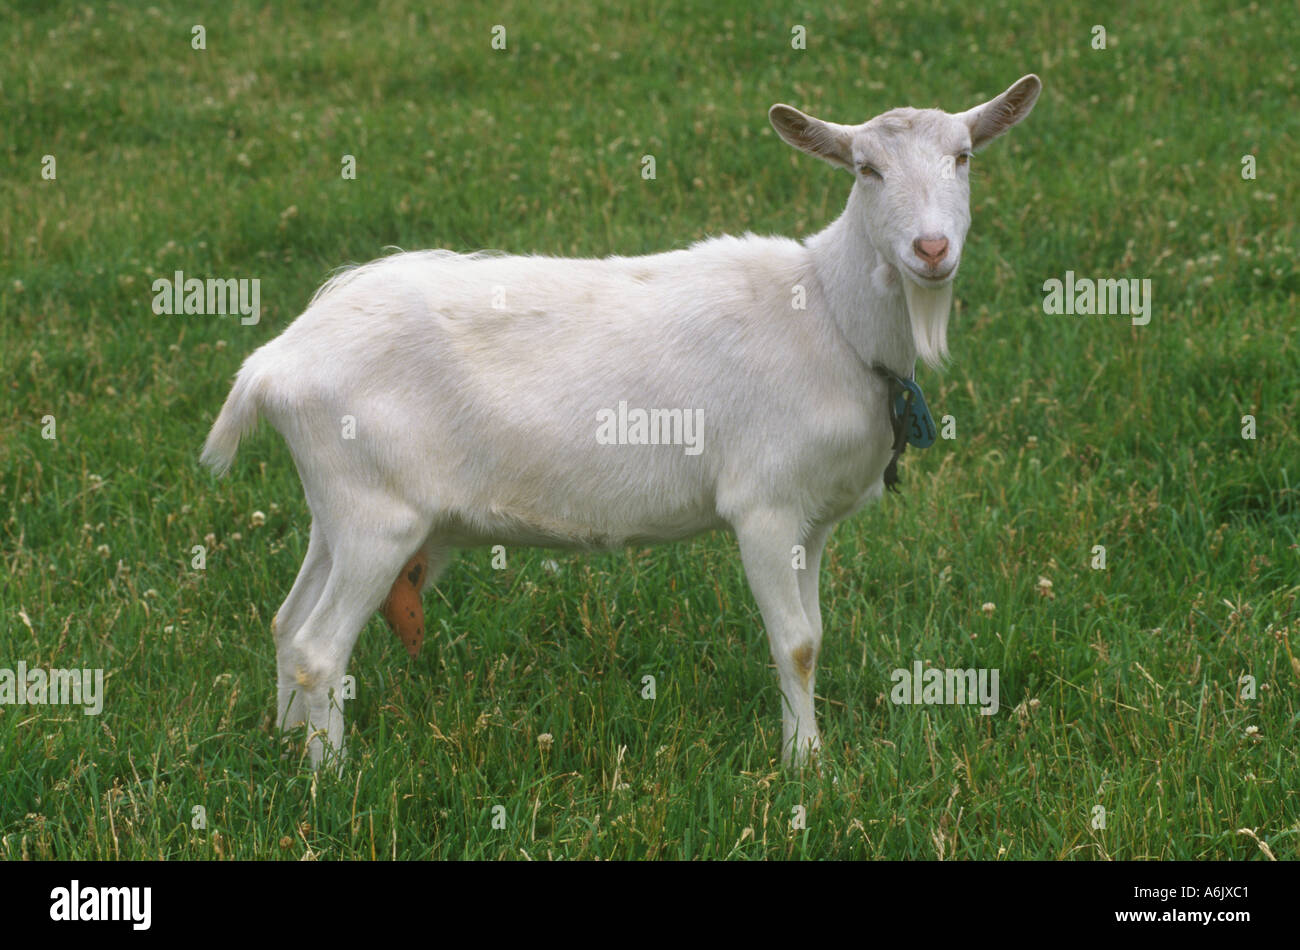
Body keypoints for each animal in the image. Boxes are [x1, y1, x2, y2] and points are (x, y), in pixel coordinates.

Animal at [203, 75, 1042, 768]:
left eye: (964, 156)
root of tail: (274, 363)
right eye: (865, 169)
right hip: (378, 517)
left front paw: (808, 756)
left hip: (339, 508)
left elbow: (815, 635)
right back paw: (332, 779)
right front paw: (809, 771)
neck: (832, 317)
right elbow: (797, 644)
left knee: (287, 624)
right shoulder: (765, 506)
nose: (930, 249)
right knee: (318, 647)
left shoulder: (817, 518)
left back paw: (285, 747)